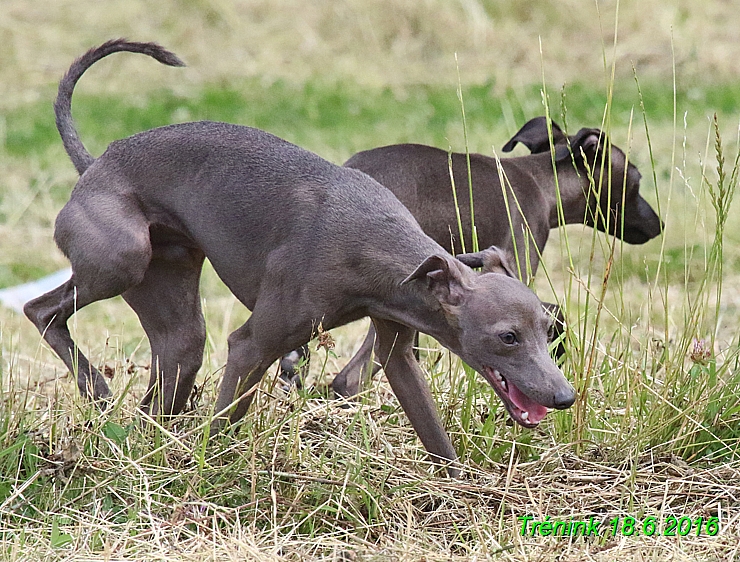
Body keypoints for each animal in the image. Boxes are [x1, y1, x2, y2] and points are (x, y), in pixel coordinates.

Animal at [23, 41, 576, 474]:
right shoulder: (252, 344)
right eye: (507, 337)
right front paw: (207, 474)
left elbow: (431, 430)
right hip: (123, 256)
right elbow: (226, 414)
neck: (377, 245)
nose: (564, 398)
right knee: (40, 308)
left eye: (547, 329)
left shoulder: (397, 346)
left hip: (173, 310)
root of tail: (98, 162)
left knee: (168, 367)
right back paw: (95, 388)